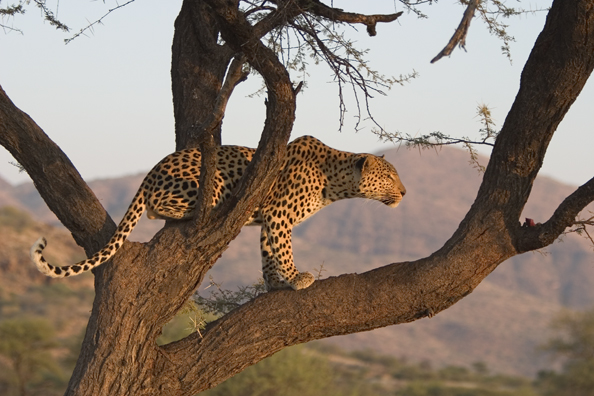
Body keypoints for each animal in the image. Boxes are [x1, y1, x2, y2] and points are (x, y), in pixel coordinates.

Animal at [30, 136, 404, 290]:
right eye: (389, 176)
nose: (404, 192)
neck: (336, 182)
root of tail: (150, 172)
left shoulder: (270, 220)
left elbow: (268, 251)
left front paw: (275, 284)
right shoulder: (279, 214)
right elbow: (283, 249)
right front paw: (297, 278)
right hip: (209, 180)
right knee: (159, 208)